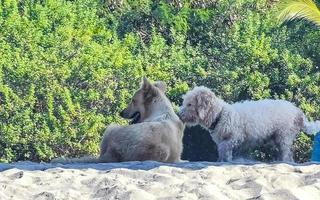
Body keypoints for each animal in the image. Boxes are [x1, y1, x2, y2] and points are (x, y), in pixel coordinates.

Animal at [179, 86, 318, 162]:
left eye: (189, 104)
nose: (179, 114)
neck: (220, 114)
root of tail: (298, 111)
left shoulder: (234, 138)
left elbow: (225, 150)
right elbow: (222, 152)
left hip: (284, 136)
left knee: (287, 155)